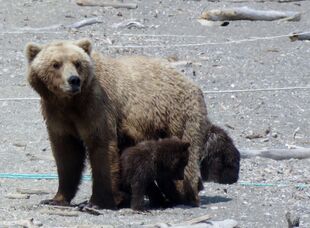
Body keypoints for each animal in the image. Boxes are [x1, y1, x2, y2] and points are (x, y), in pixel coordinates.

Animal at [25, 38, 241, 208]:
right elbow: (67, 155)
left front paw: (97, 201)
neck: (71, 103)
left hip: (179, 117)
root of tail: (194, 86)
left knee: (183, 162)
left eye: (77, 63)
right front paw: (56, 198)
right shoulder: (58, 116)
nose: (73, 80)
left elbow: (102, 149)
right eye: (56, 64)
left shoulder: (98, 107)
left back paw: (183, 195)